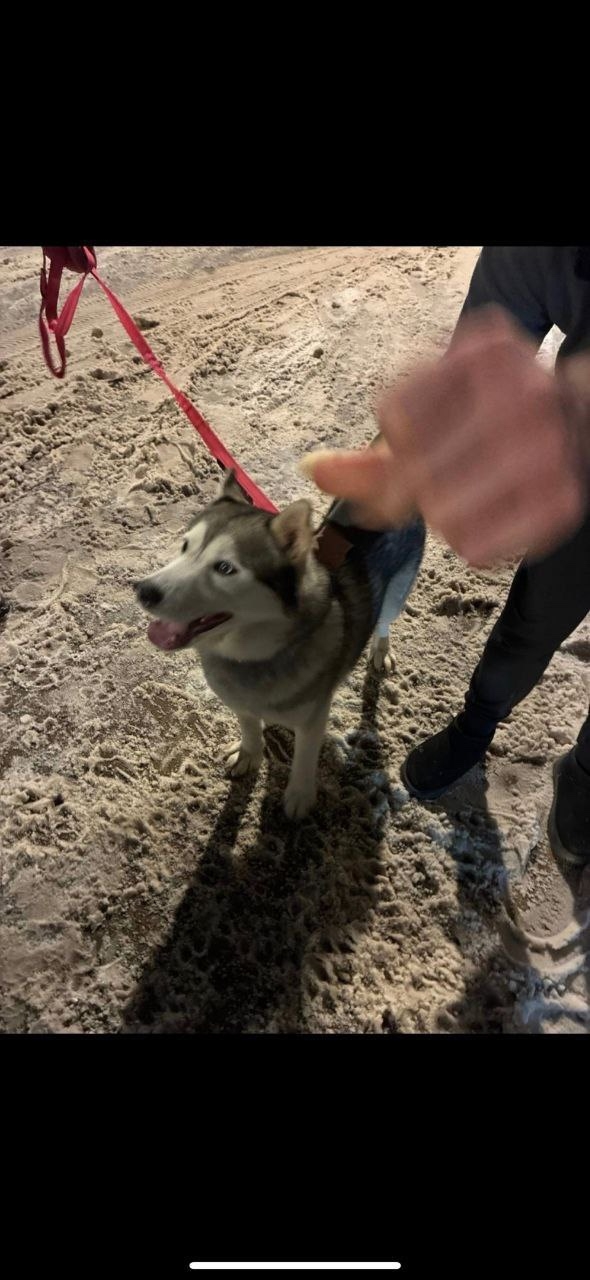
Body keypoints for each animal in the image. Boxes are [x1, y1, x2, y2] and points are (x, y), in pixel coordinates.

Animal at [135, 470, 425, 819]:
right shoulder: (239, 701)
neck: (256, 657)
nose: (143, 590)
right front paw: (250, 753)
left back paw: (381, 651)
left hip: (396, 593)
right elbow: (249, 728)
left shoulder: (313, 719)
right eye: (185, 545)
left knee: (384, 622)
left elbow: (304, 757)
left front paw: (299, 795)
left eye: (225, 568)